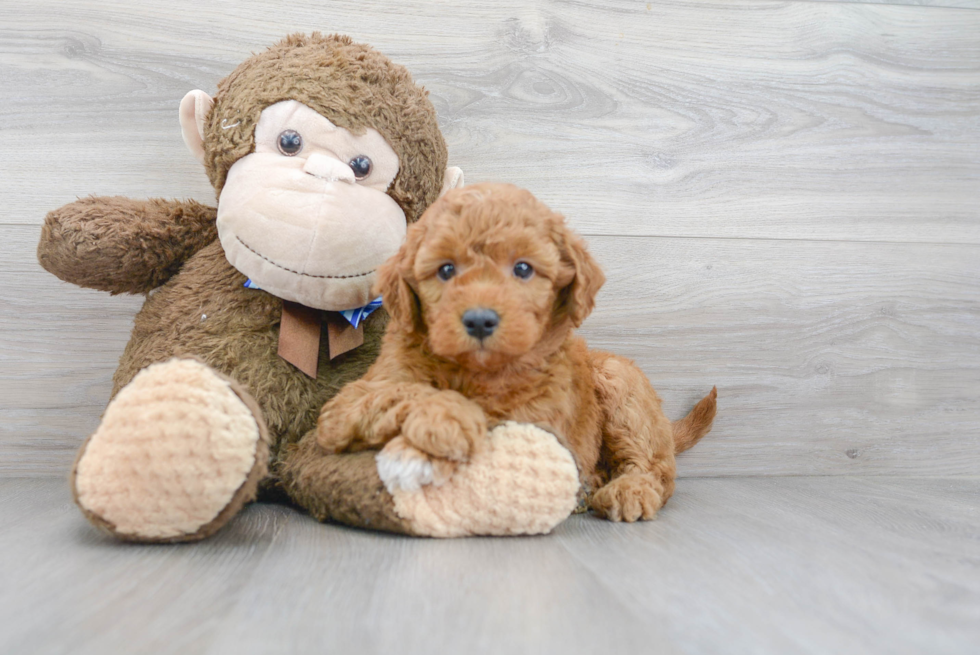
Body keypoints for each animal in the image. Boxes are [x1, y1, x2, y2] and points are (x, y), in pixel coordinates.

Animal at [318, 183, 716, 524]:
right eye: (446, 269)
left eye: (522, 268)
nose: (480, 320)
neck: (477, 373)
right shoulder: (350, 401)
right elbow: (398, 391)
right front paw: (448, 419)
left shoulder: (534, 427)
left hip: (619, 379)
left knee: (656, 466)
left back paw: (627, 490)